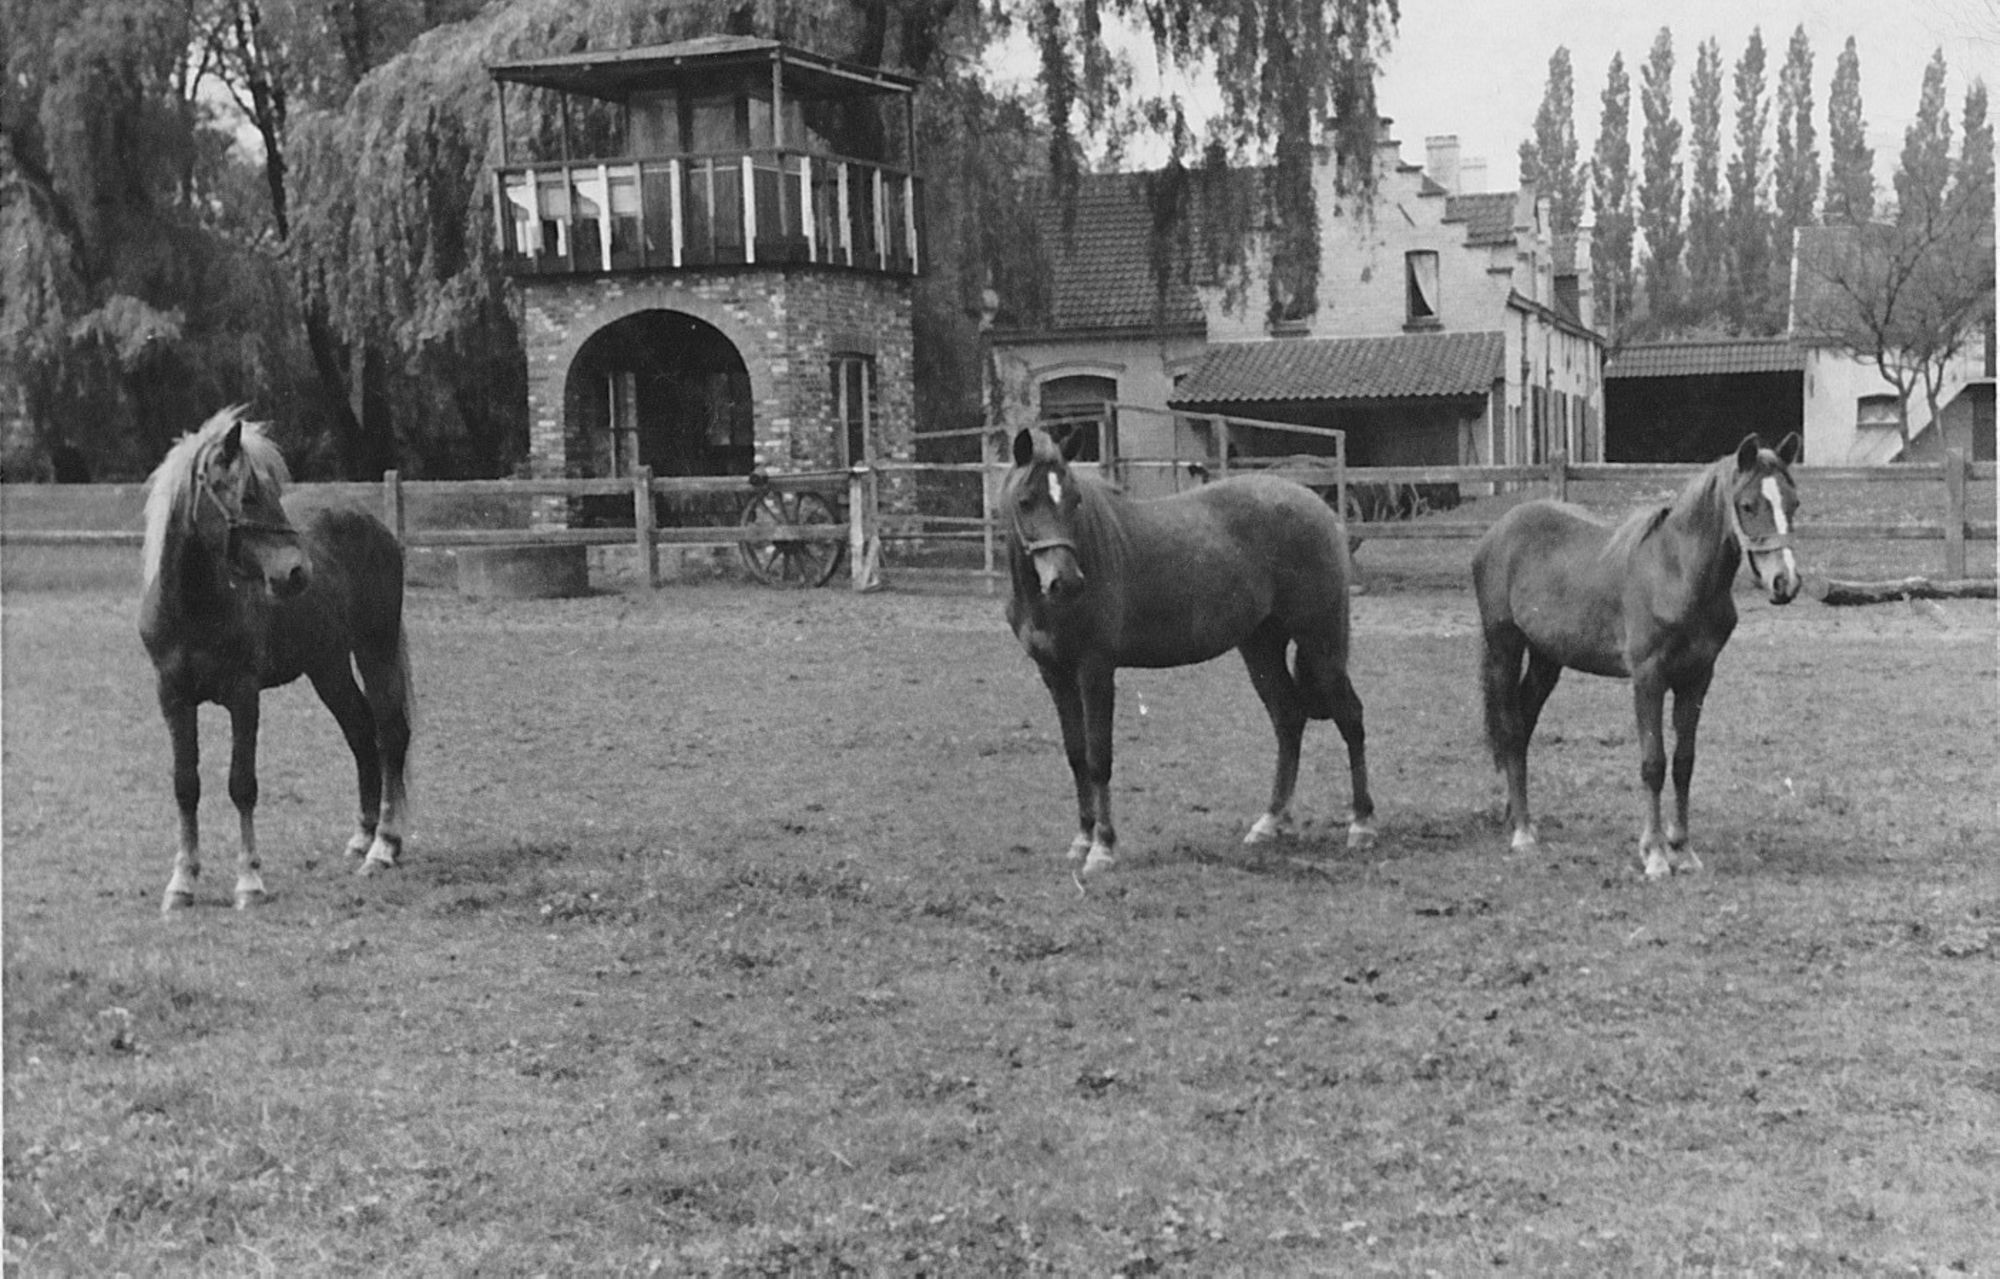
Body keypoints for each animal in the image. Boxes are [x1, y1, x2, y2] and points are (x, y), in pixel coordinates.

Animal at [142, 409, 414, 911]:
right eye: (247, 495)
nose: (296, 572)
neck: (194, 607)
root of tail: (373, 524)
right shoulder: (173, 698)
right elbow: (186, 786)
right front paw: (182, 882)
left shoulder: (243, 695)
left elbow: (242, 784)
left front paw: (249, 881)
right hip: (328, 666)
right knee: (360, 733)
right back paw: (362, 838)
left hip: (376, 648)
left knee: (390, 735)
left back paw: (383, 848)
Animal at [1000, 423, 1376, 875]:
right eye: (1026, 501)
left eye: (1074, 500)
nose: (1067, 582)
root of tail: (1318, 507)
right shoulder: (1054, 674)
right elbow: (1076, 757)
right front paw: (1081, 841)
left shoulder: (1095, 670)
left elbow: (1098, 758)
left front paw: (1103, 848)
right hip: (1261, 646)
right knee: (1288, 719)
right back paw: (1270, 822)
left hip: (1320, 641)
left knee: (1350, 717)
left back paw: (1361, 825)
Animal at [1472, 431, 1816, 879]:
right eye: (1747, 505)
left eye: (1793, 503)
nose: (1785, 582)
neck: (1677, 573)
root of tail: (1497, 534)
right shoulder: (1648, 679)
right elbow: (1653, 763)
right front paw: (1654, 854)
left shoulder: (1697, 679)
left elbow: (1684, 762)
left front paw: (1683, 850)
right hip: (1505, 647)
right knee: (1512, 727)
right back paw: (1523, 833)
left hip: (1547, 659)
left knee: (1525, 724)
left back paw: (1515, 816)